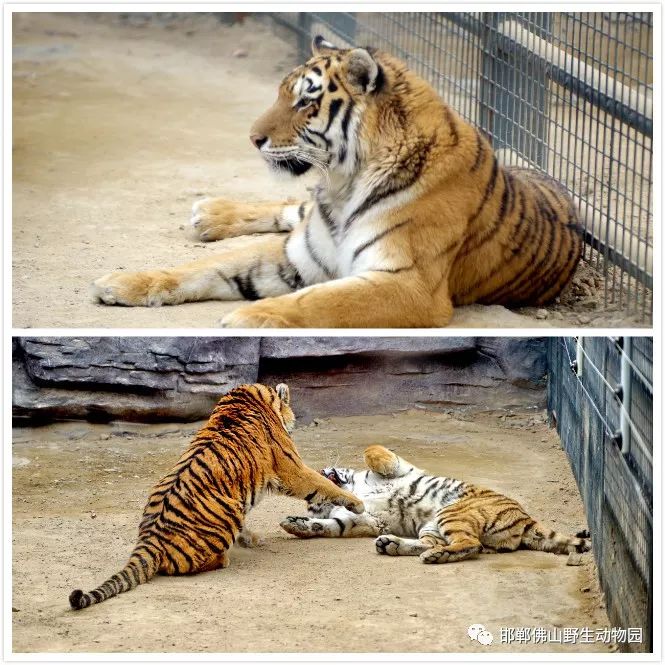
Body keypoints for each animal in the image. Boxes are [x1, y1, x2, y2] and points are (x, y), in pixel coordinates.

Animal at [66, 382, 364, 608]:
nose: (296, 420)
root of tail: (150, 538)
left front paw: (251, 538)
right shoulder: (292, 469)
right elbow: (322, 484)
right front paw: (358, 504)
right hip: (231, 510)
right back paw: (224, 557)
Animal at [92, 34, 580, 330]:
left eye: (305, 102)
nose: (252, 138)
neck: (345, 185)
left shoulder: (409, 283)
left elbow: (321, 301)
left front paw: (249, 317)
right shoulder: (299, 254)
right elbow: (205, 268)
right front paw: (123, 283)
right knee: (291, 208)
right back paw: (210, 213)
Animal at [278, 444, 588, 564]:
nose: (321, 470)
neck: (354, 488)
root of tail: (526, 518)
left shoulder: (399, 466)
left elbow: (373, 451)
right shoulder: (367, 521)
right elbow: (332, 524)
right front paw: (296, 524)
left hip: (452, 511)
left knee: (471, 545)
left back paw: (429, 555)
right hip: (432, 526)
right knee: (444, 544)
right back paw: (393, 545)